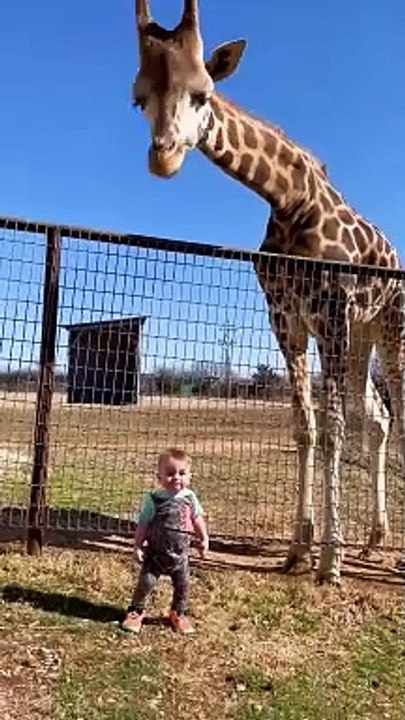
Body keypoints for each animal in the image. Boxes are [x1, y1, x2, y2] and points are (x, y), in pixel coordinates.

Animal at [132, 0, 405, 582]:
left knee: (399, 407)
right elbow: (305, 427)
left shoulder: (329, 312)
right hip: (361, 334)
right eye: (139, 98)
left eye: (202, 94)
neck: (289, 201)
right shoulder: (286, 319)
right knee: (378, 416)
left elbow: (332, 430)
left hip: (389, 326)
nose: (163, 158)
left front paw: (330, 561)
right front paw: (299, 547)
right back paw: (377, 536)